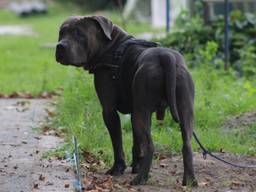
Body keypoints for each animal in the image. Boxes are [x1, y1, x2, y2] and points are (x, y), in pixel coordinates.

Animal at [55, 15, 197, 186]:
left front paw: (118, 168)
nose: (60, 46)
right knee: (187, 144)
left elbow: (117, 142)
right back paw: (190, 180)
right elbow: (136, 142)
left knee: (150, 146)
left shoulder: (109, 111)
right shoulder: (135, 111)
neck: (110, 46)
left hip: (142, 113)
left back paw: (141, 178)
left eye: (79, 34)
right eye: (61, 32)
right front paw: (136, 165)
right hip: (183, 111)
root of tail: (165, 57)